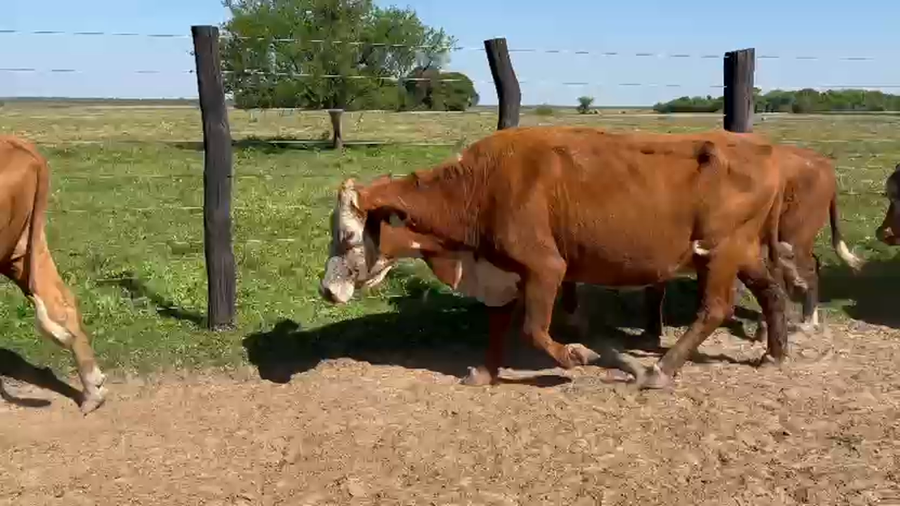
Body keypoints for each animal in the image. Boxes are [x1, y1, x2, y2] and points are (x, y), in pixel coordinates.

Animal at [319, 125, 790, 390]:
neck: (481, 188)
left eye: (347, 235)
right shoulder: (503, 271)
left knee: (715, 308)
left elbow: (534, 329)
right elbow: (502, 324)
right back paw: (775, 353)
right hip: (744, 252)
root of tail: (765, 150)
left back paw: (660, 370)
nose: (325, 290)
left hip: (719, 252)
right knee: (772, 291)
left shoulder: (545, 267)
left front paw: (576, 357)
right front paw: (486, 373)